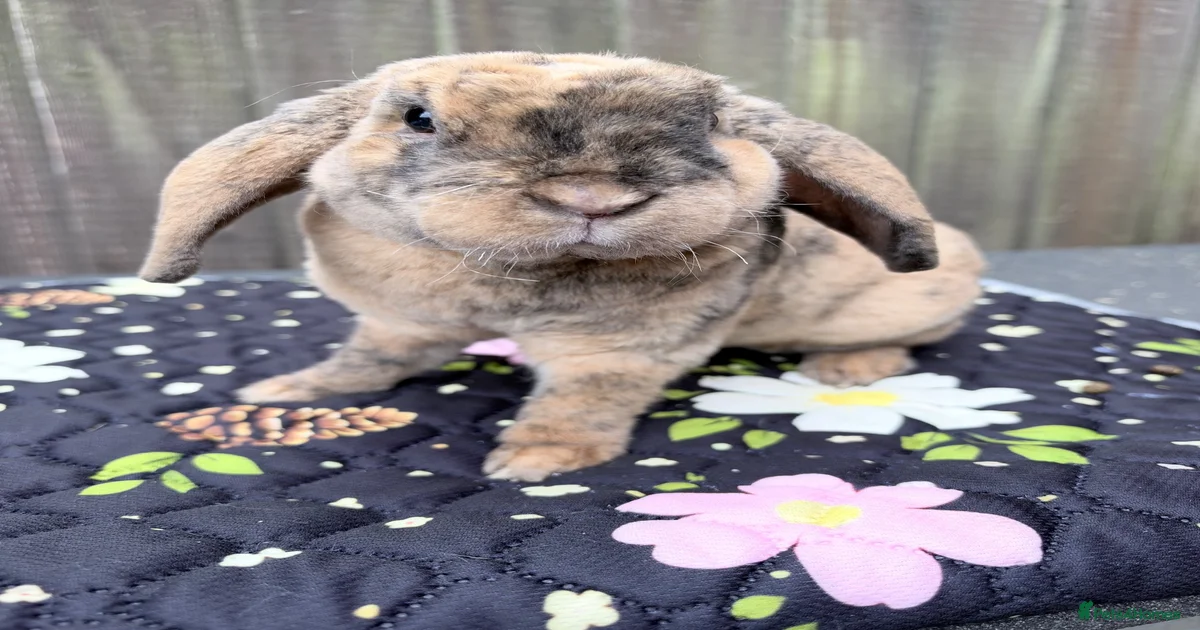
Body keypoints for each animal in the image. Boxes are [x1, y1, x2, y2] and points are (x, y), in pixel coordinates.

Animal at [137, 51, 986, 481]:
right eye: (418, 118)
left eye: (713, 121)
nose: (593, 195)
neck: (513, 277)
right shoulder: (397, 324)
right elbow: (363, 364)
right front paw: (286, 391)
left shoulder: (616, 355)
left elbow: (577, 404)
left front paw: (533, 461)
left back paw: (846, 370)